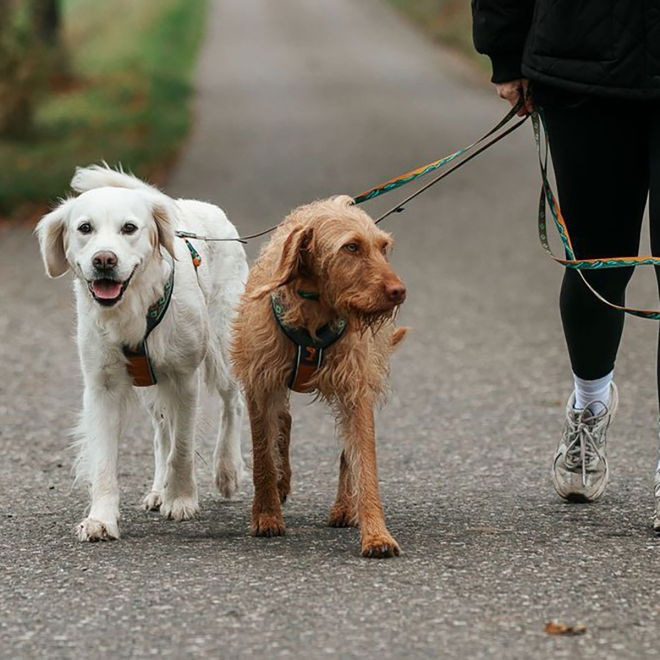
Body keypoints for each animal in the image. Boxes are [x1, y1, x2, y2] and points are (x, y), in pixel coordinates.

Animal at [36, 165, 248, 540]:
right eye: (85, 228)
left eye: (129, 228)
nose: (104, 260)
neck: (133, 307)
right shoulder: (103, 386)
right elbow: (106, 462)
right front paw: (101, 518)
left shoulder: (184, 378)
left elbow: (182, 447)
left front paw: (181, 499)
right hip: (152, 385)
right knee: (161, 433)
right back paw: (158, 489)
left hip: (222, 347)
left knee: (231, 403)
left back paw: (227, 470)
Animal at [232, 196, 408, 556]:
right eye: (351, 247)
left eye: (383, 247)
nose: (399, 291)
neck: (314, 308)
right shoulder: (260, 385)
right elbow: (262, 456)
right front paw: (267, 514)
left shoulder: (356, 389)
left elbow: (364, 461)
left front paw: (376, 533)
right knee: (282, 423)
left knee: (345, 451)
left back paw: (344, 506)